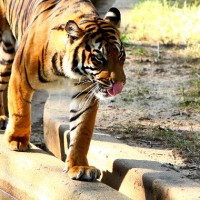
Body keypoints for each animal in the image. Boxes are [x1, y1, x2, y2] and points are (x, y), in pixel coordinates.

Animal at [0, 0, 125, 181]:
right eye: (99, 58)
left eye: (121, 55)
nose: (120, 84)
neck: (69, 71)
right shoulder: (20, 75)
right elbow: (20, 111)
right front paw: (17, 140)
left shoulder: (85, 94)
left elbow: (82, 132)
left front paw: (79, 167)